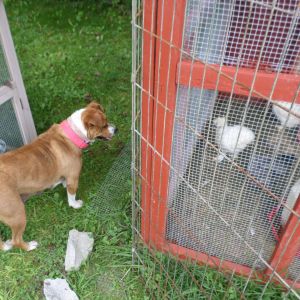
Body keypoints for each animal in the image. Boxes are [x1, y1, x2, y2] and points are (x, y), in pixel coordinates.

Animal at [0, 102, 116, 252]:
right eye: (103, 126)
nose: (116, 129)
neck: (72, 134)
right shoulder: (73, 178)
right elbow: (71, 195)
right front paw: (75, 204)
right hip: (17, 214)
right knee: (16, 239)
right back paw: (29, 246)